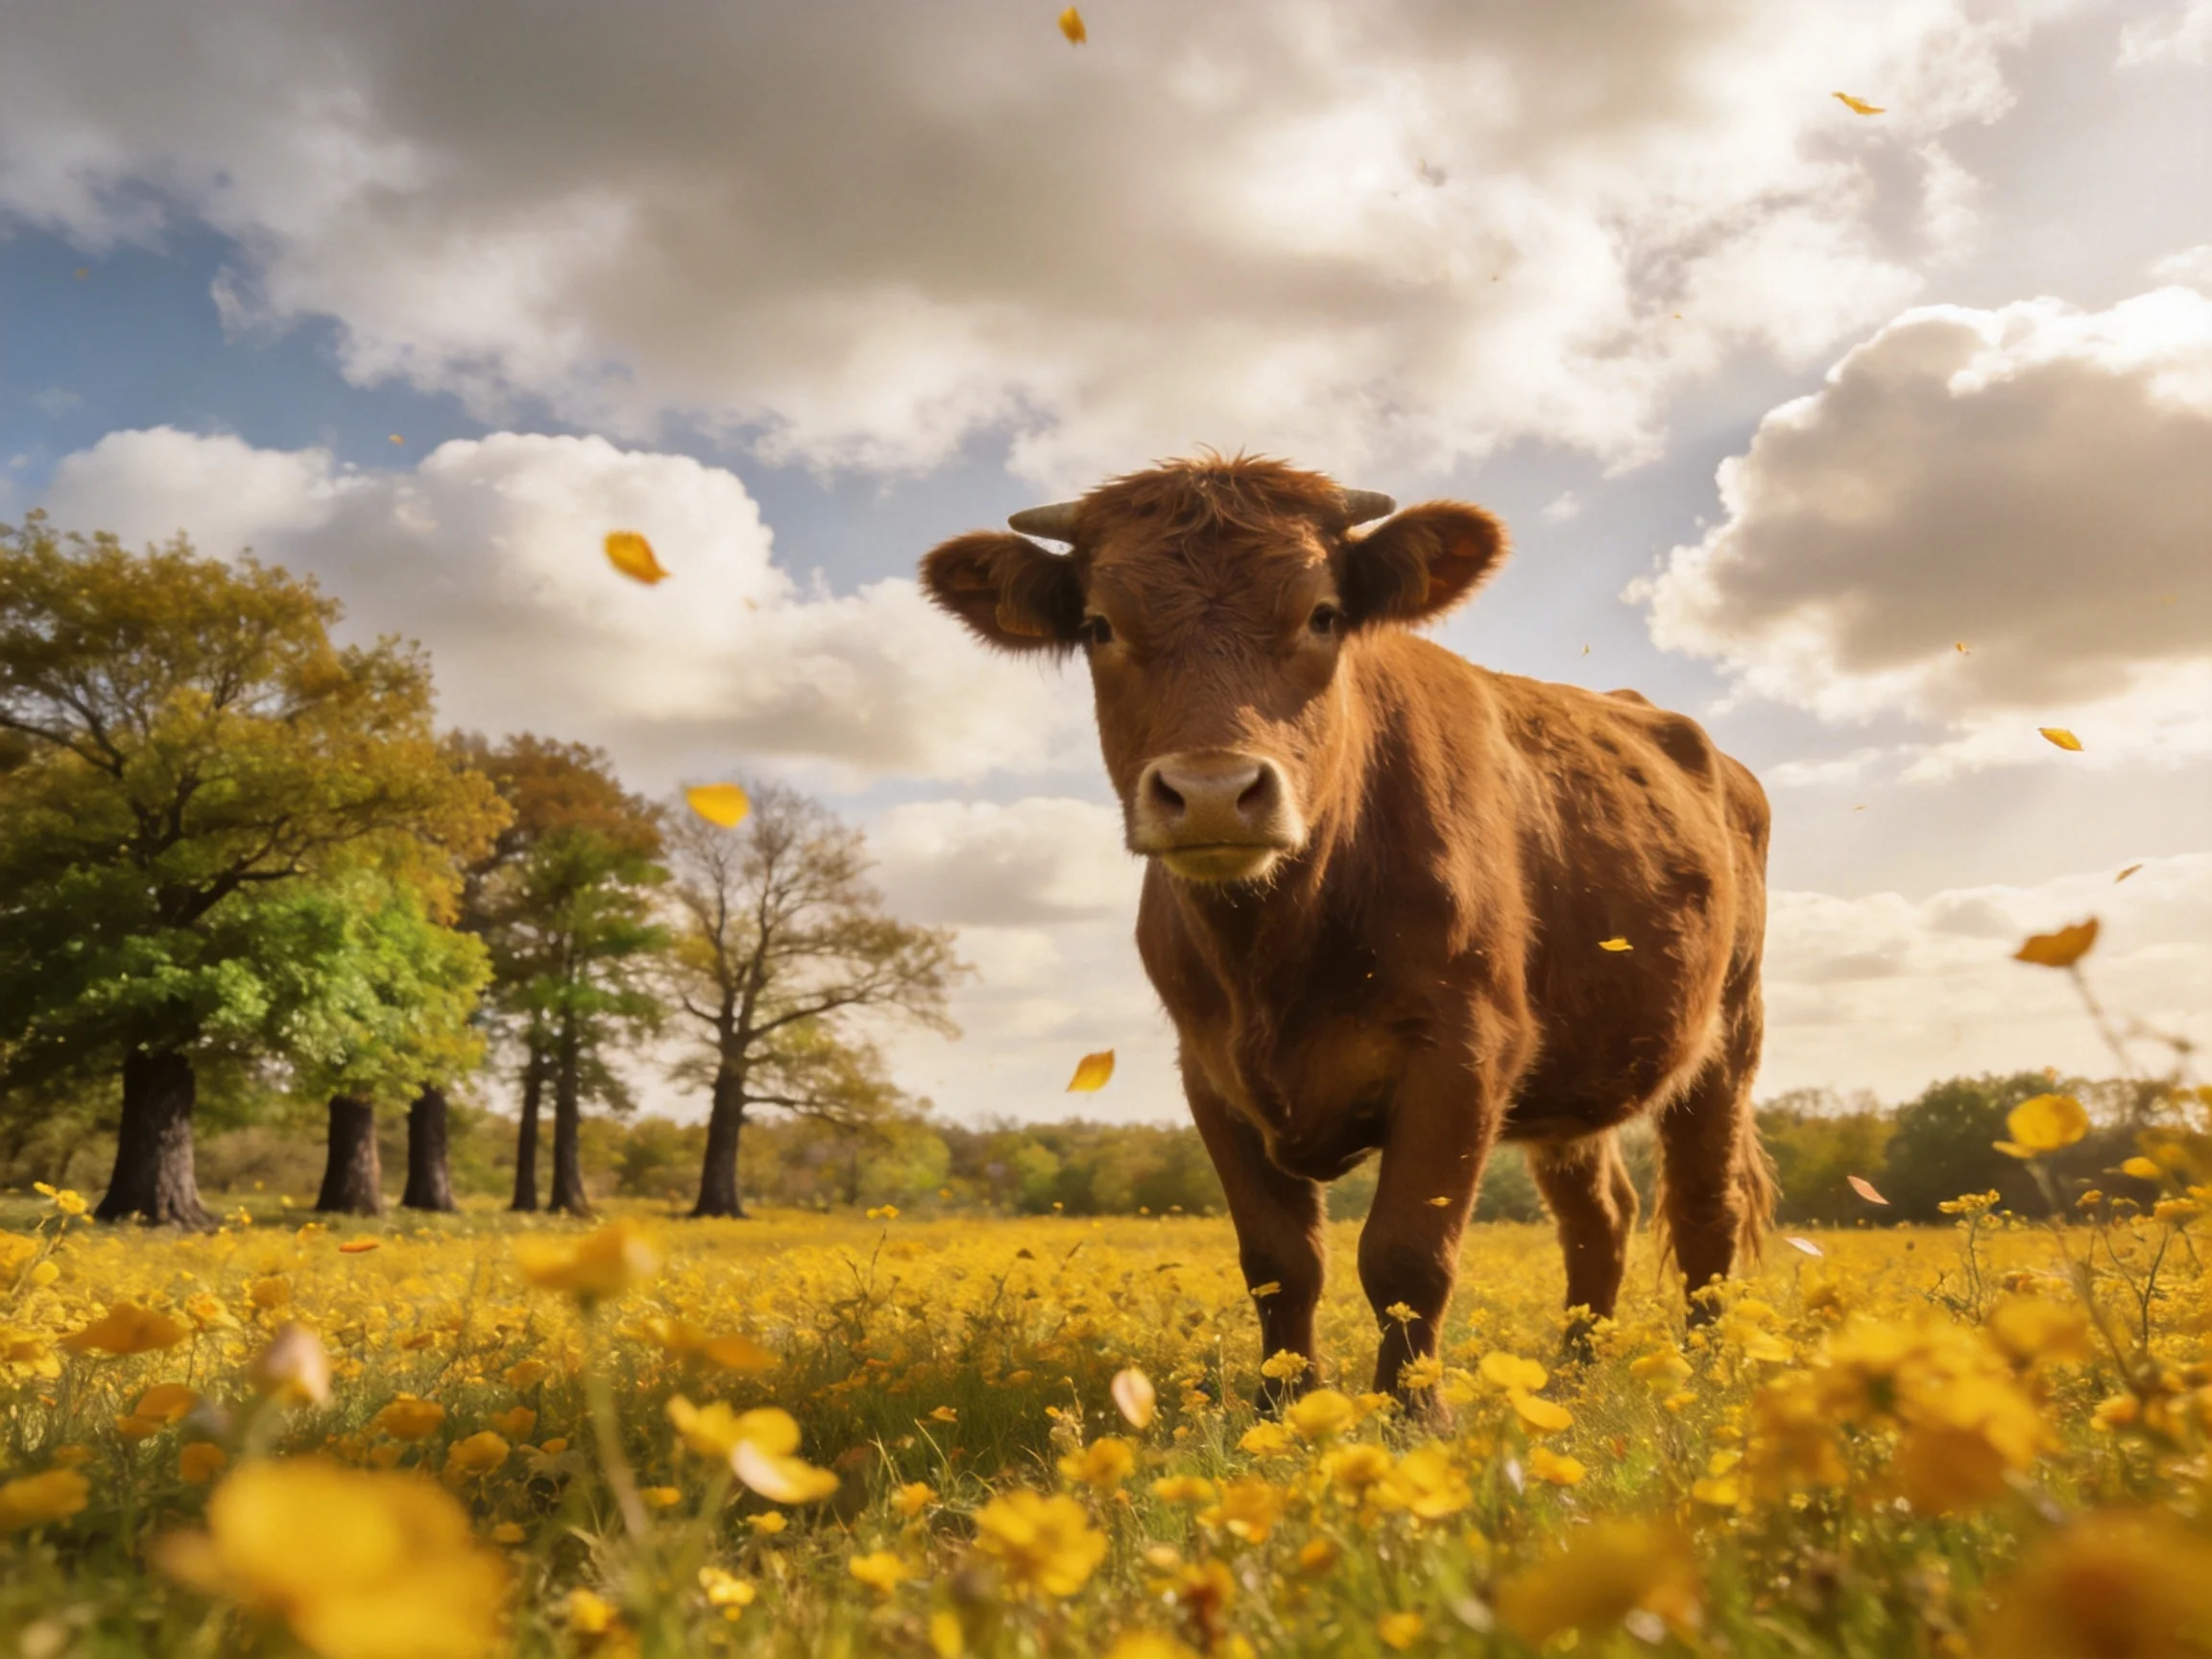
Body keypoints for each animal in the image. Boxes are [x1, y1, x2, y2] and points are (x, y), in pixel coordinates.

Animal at [919, 453, 1772, 1409]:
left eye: (1322, 614)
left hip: (1729, 1035)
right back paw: (1571, 1378)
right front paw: (1284, 1408)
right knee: (1601, 1216)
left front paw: (1413, 1414)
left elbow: (1407, 1255)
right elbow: (1279, 1260)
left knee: (1705, 1209)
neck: (1275, 950)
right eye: (1101, 625)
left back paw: (1700, 1375)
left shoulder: (1466, 1049)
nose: (1212, 791)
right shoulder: (1208, 1071)